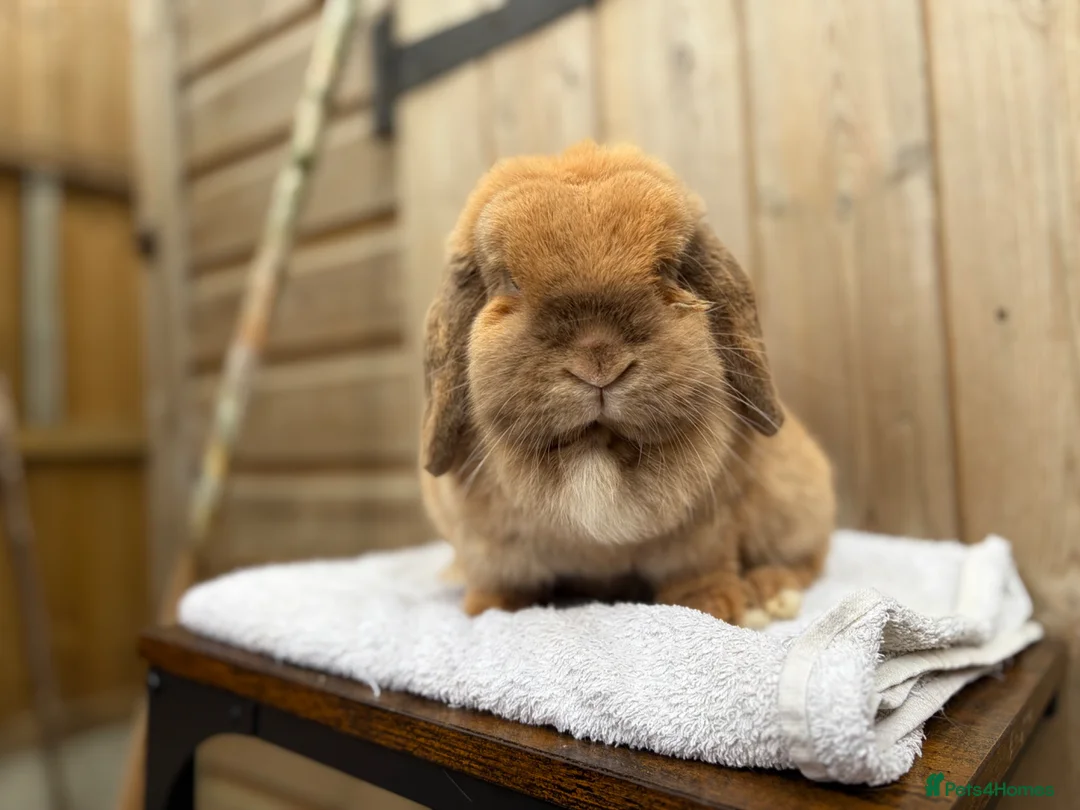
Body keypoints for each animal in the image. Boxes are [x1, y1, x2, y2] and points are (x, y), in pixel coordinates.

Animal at [418, 140, 835, 629]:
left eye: (669, 268)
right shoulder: (488, 548)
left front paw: (713, 606)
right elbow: (498, 581)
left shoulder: (705, 532)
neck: (596, 454)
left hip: (797, 501)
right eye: (510, 282)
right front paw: (489, 610)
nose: (600, 362)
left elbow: (700, 571)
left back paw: (770, 593)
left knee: (810, 557)